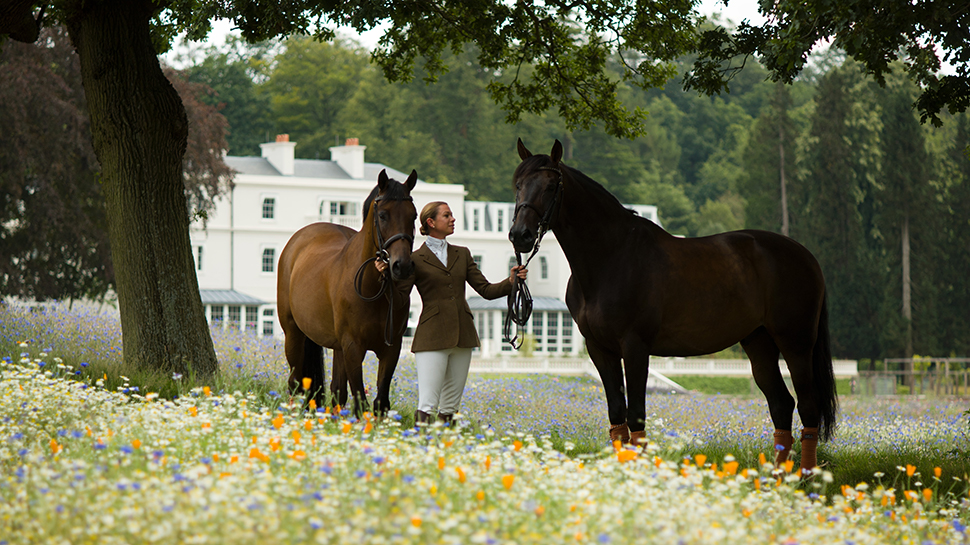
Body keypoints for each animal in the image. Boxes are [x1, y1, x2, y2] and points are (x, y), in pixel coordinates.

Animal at [277, 169, 417, 415]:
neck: (373, 289)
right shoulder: (353, 347)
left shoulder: (391, 349)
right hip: (293, 332)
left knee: (336, 391)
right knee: (295, 383)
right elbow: (360, 401)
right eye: (383, 215)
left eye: (414, 216)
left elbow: (380, 401)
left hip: (337, 347)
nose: (402, 266)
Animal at [508, 139, 837, 472]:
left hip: (796, 344)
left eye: (551, 186)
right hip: (758, 342)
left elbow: (636, 416)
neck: (612, 257)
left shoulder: (635, 347)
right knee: (782, 405)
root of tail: (806, 256)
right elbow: (617, 415)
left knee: (807, 407)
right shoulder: (599, 348)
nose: (520, 235)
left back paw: (805, 478)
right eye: (518, 184)